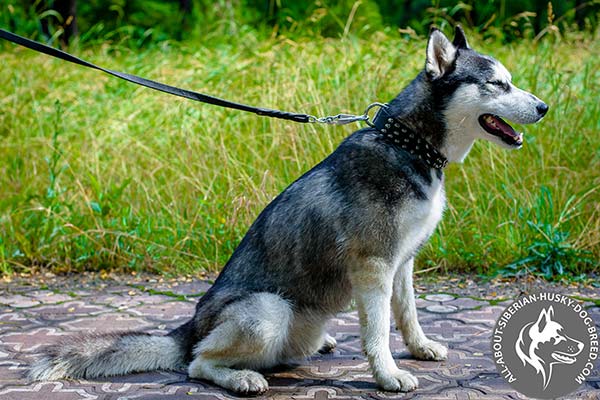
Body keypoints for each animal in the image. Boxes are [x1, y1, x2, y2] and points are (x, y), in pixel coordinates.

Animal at [29, 26, 548, 396]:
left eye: (511, 80)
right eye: (497, 84)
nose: (544, 107)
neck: (409, 144)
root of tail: (190, 327)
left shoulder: (402, 262)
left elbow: (407, 315)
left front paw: (419, 348)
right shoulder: (374, 266)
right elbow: (378, 331)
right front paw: (386, 375)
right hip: (267, 311)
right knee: (198, 363)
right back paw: (240, 378)